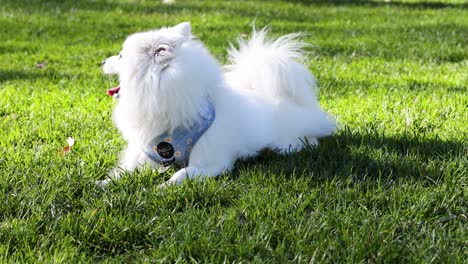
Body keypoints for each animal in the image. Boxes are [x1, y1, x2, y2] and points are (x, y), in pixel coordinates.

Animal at [98, 22, 334, 188]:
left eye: (120, 56)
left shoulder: (211, 163)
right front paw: (103, 183)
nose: (102, 61)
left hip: (287, 143)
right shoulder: (148, 152)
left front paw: (162, 187)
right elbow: (126, 170)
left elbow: (181, 173)